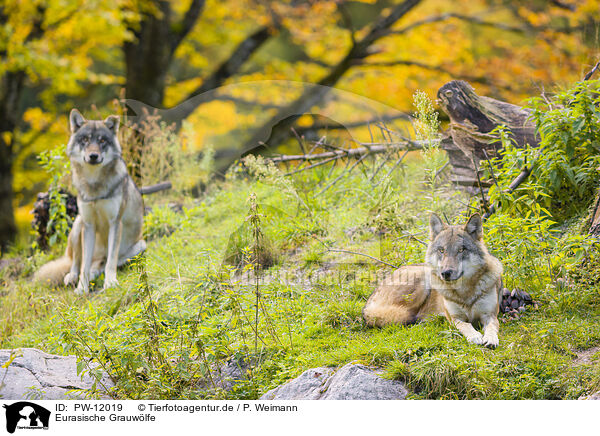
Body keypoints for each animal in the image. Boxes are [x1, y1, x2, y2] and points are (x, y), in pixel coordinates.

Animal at [35, 107, 147, 294]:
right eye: (85, 140)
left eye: (102, 140)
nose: (93, 156)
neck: (94, 184)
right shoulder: (89, 225)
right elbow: (84, 266)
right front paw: (82, 288)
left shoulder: (115, 223)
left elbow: (110, 261)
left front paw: (110, 283)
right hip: (78, 224)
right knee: (76, 263)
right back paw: (72, 278)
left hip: (140, 245)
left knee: (103, 263)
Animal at [364, 213, 504, 350]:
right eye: (441, 250)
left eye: (461, 250)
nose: (446, 273)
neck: (465, 293)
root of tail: (367, 305)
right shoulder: (454, 318)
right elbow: (466, 325)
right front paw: (475, 336)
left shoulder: (490, 315)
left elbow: (491, 328)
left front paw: (491, 339)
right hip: (423, 281)